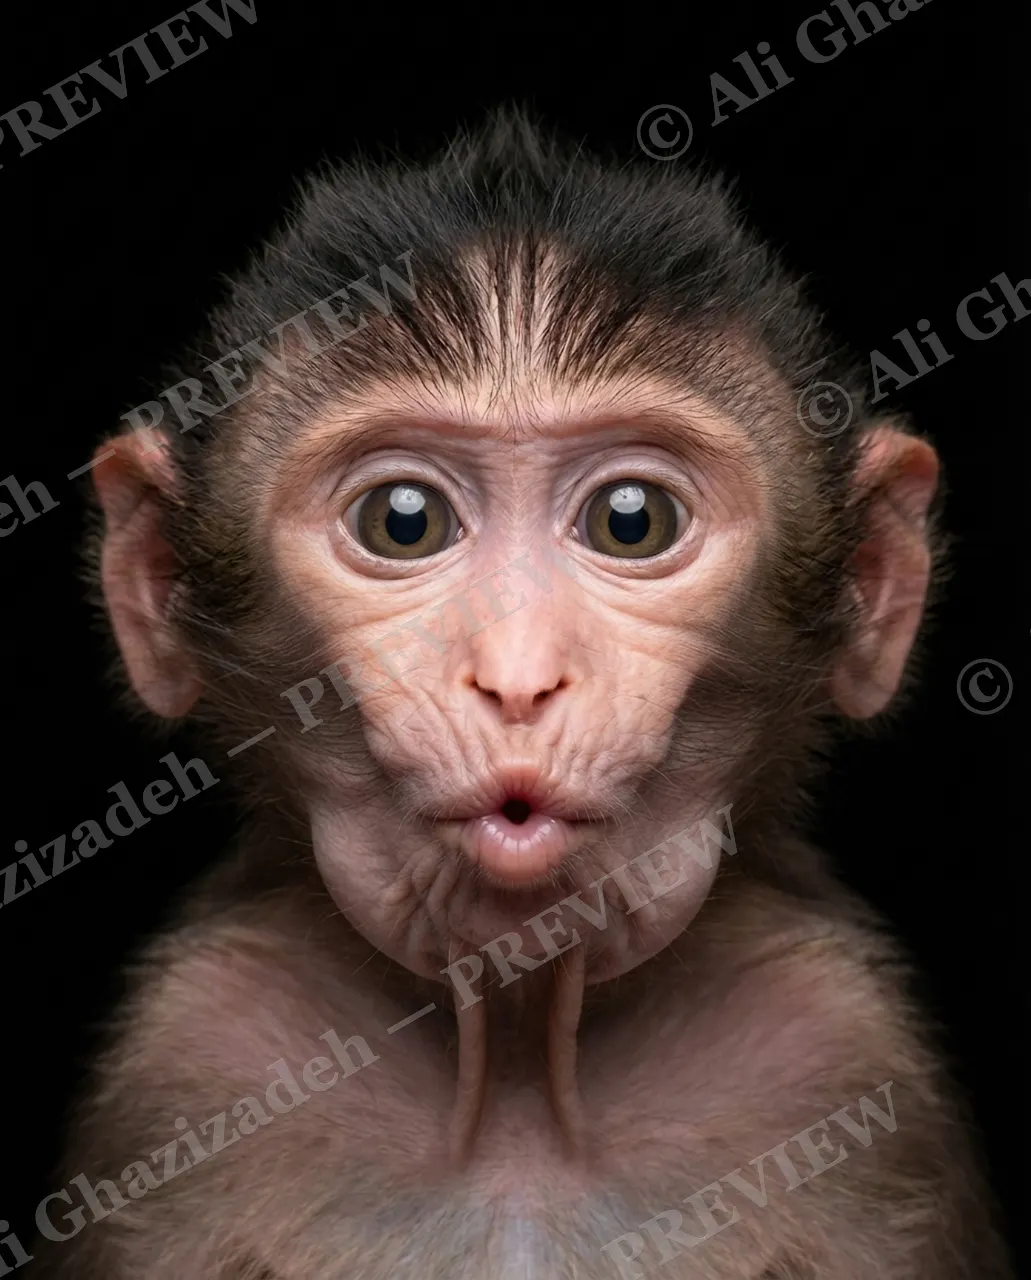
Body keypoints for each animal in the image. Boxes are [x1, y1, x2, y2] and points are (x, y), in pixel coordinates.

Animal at [27, 109, 1012, 1278]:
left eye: (630, 519)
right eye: (402, 520)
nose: (516, 675)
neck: (514, 1075)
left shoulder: (843, 1055)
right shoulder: (190, 1062)